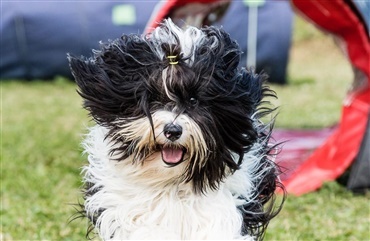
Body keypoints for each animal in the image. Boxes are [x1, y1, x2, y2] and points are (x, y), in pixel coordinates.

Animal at [68, 19, 284, 241]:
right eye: (153, 99)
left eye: (193, 100)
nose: (172, 130)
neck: (171, 182)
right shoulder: (125, 205)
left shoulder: (224, 204)